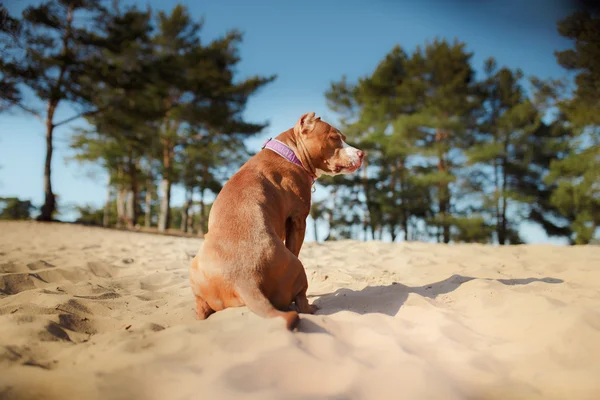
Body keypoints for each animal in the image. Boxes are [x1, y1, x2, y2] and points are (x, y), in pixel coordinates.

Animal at [190, 111, 364, 328]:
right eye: (334, 137)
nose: (361, 154)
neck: (290, 154)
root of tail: (244, 279)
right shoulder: (298, 221)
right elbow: (295, 248)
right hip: (298, 269)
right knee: (300, 299)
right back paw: (311, 308)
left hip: (195, 273)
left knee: (201, 306)